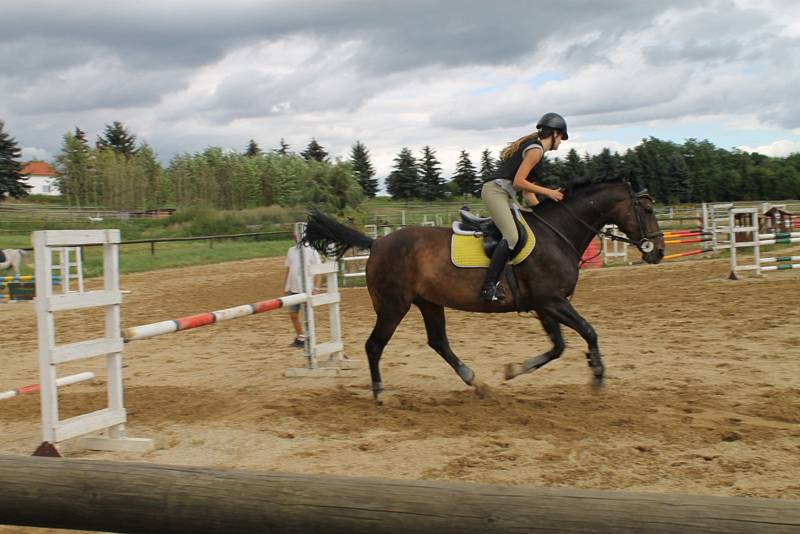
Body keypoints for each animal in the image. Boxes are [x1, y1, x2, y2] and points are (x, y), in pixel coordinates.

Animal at [304, 180, 664, 402]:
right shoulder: (552, 301)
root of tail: (377, 243)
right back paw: (379, 393)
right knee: (374, 345)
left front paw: (515, 370)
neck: (557, 234)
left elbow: (558, 346)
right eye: (647, 210)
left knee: (438, 341)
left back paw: (474, 381)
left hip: (428, 302)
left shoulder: (545, 304)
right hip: (394, 307)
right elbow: (589, 331)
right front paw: (598, 377)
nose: (658, 252)